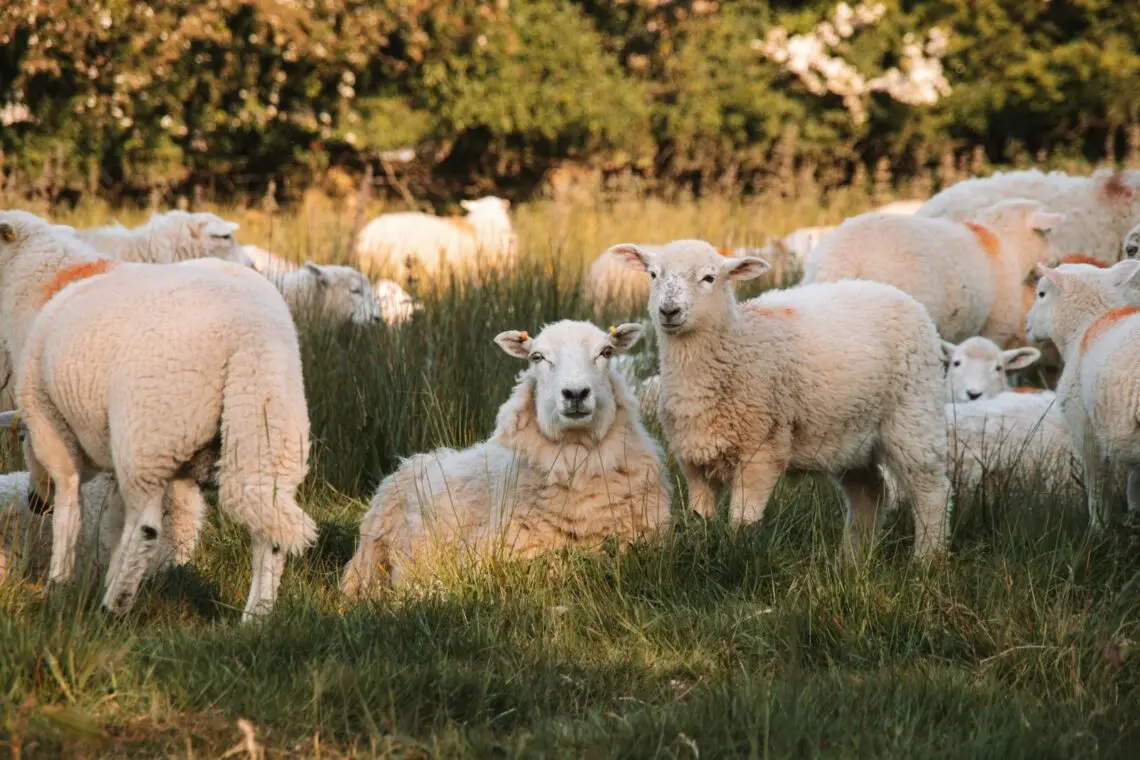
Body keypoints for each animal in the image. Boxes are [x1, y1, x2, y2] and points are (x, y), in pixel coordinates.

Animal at [608, 239, 953, 559]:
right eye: (653, 274)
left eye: (709, 277)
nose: (669, 311)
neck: (735, 347)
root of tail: (898, 295)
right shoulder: (694, 458)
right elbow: (699, 518)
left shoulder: (762, 450)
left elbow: (742, 521)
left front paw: (739, 555)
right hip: (850, 435)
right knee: (870, 492)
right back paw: (853, 560)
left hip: (913, 413)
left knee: (931, 490)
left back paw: (927, 559)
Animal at [1025, 257, 1140, 529]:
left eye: (1041, 294)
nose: (1027, 324)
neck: (1086, 326)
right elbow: (1134, 485)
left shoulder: (1084, 426)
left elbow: (1096, 484)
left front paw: (1097, 528)